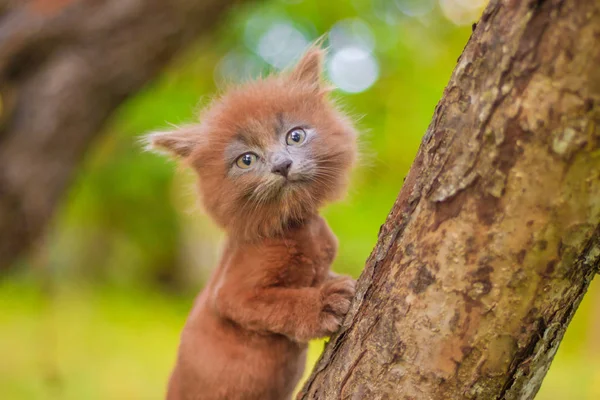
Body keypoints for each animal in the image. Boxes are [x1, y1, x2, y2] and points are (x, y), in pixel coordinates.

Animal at [145, 44, 358, 400]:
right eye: (246, 160)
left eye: (295, 136)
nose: (282, 165)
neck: (299, 226)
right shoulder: (233, 295)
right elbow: (281, 302)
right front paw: (322, 304)